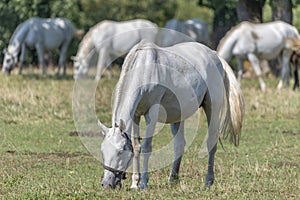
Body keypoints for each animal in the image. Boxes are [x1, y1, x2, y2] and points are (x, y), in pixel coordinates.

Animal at [97, 40, 245, 189]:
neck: (144, 69)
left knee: (211, 143)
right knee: (179, 144)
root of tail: (215, 55)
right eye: (102, 150)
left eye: (120, 151)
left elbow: (146, 146)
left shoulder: (152, 114)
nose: (107, 184)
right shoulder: (136, 115)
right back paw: (173, 178)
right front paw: (135, 183)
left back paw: (208, 181)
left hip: (212, 108)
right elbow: (136, 147)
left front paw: (143, 183)